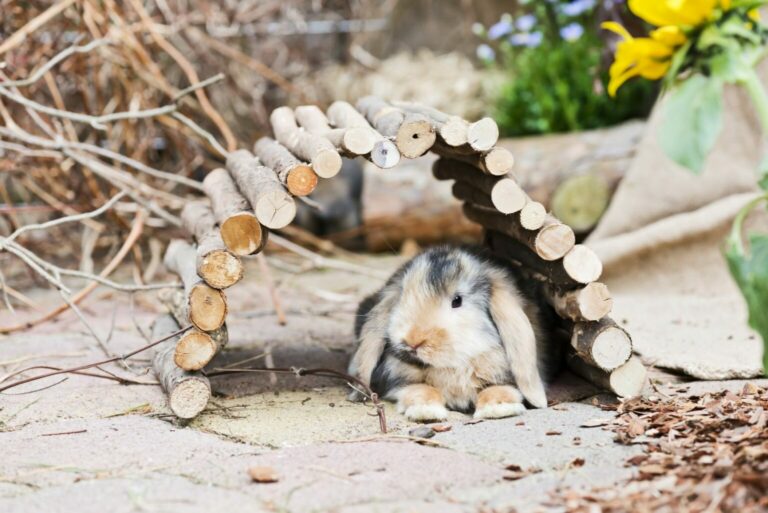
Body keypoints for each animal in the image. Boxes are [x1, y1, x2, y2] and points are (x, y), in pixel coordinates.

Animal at [349, 245, 557, 422]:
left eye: (457, 300)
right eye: (403, 296)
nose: (413, 340)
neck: (454, 365)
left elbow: (496, 390)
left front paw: (498, 408)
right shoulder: (402, 382)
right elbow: (422, 390)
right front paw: (426, 411)